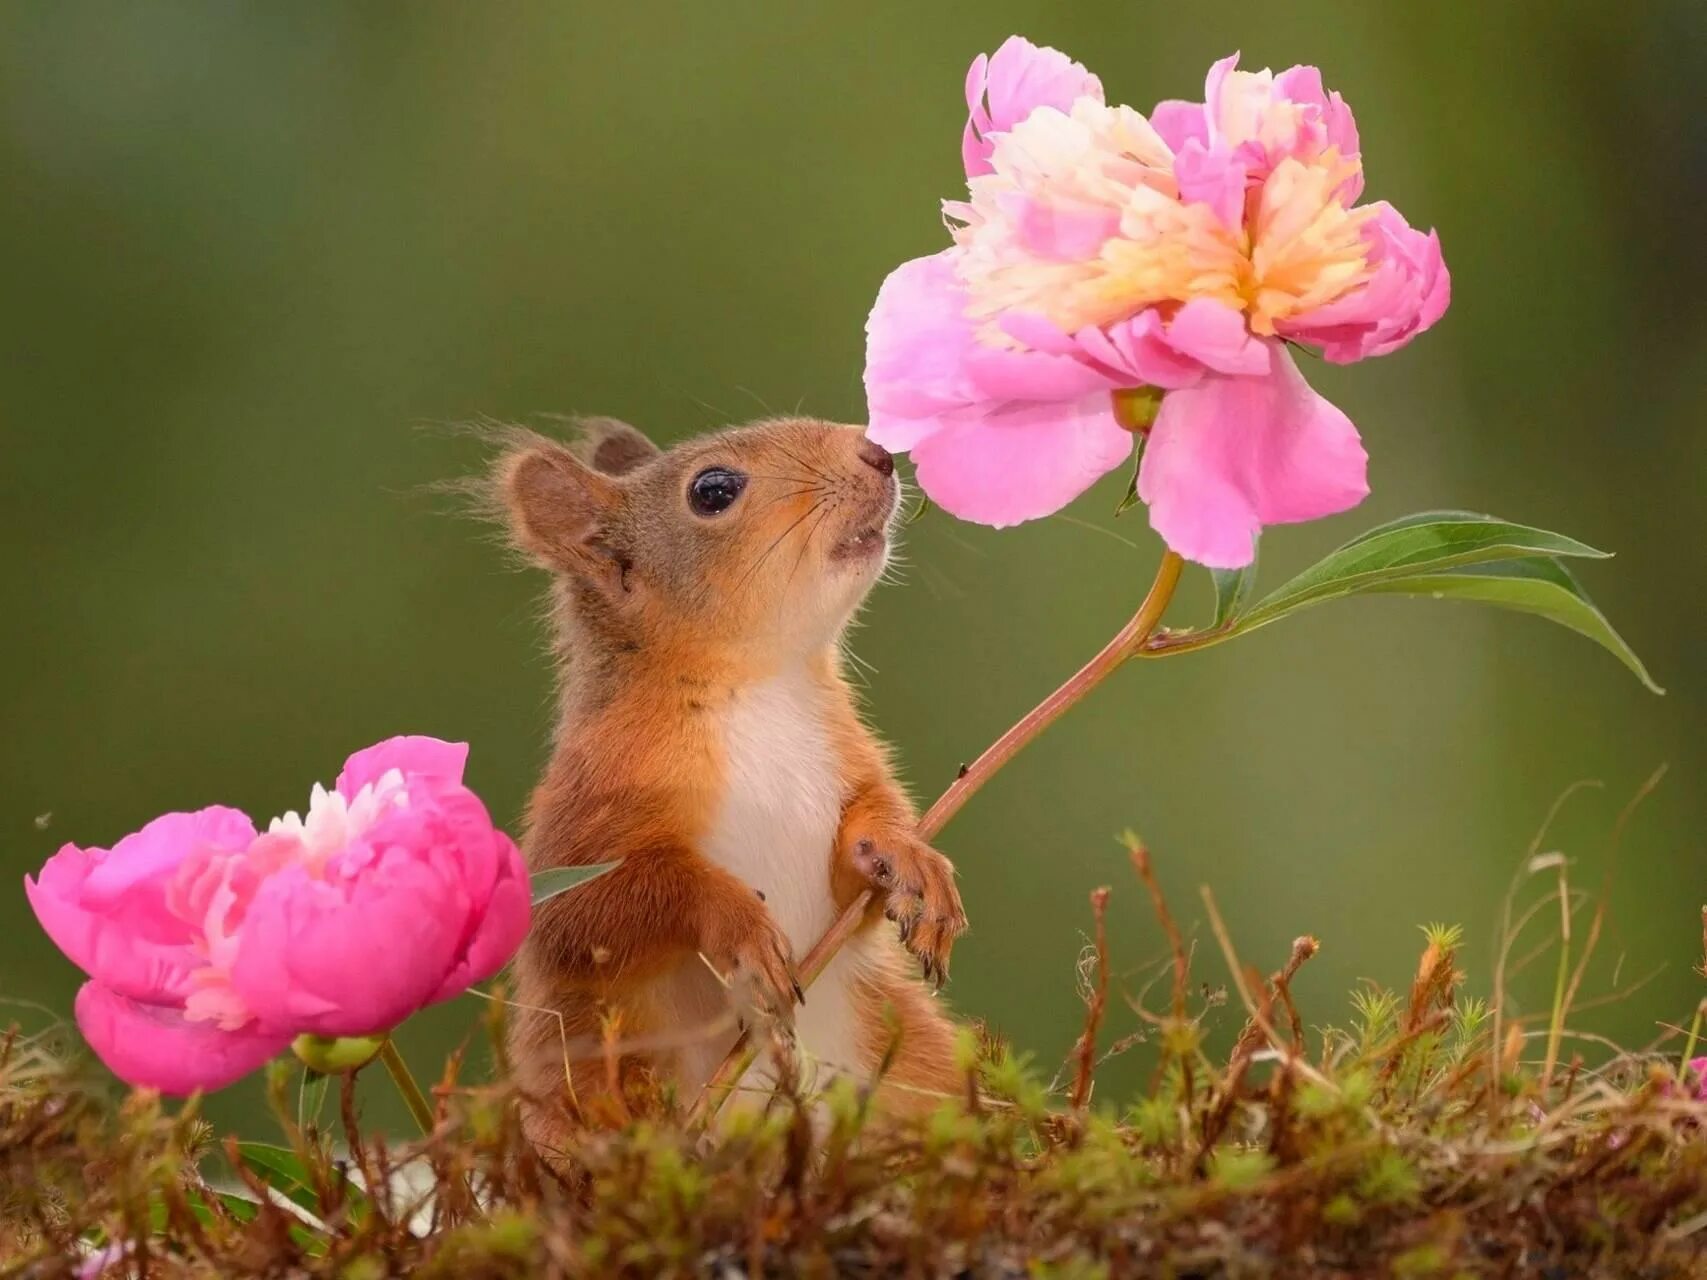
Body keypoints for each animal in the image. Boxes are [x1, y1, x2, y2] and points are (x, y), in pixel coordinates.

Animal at [495, 418, 969, 1153]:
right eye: (713, 490)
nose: (877, 453)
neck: (757, 685)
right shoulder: (588, 800)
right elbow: (588, 912)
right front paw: (739, 925)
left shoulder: (845, 757)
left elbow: (861, 854)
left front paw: (909, 861)